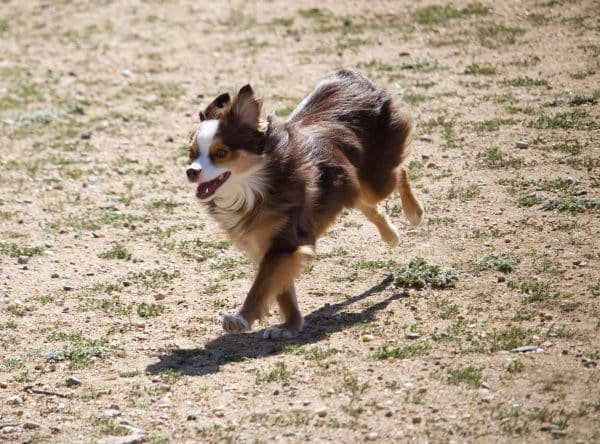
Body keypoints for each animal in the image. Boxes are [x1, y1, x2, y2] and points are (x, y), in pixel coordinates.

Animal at [185, 68, 424, 340]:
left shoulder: (284, 242)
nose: (190, 171)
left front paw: (241, 319)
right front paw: (290, 326)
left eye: (220, 153)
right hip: (351, 185)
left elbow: (261, 286)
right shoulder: (269, 246)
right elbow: (282, 291)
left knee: (400, 174)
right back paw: (391, 235)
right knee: (367, 204)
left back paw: (414, 213)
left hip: (376, 180)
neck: (257, 187)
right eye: (192, 153)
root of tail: (350, 76)